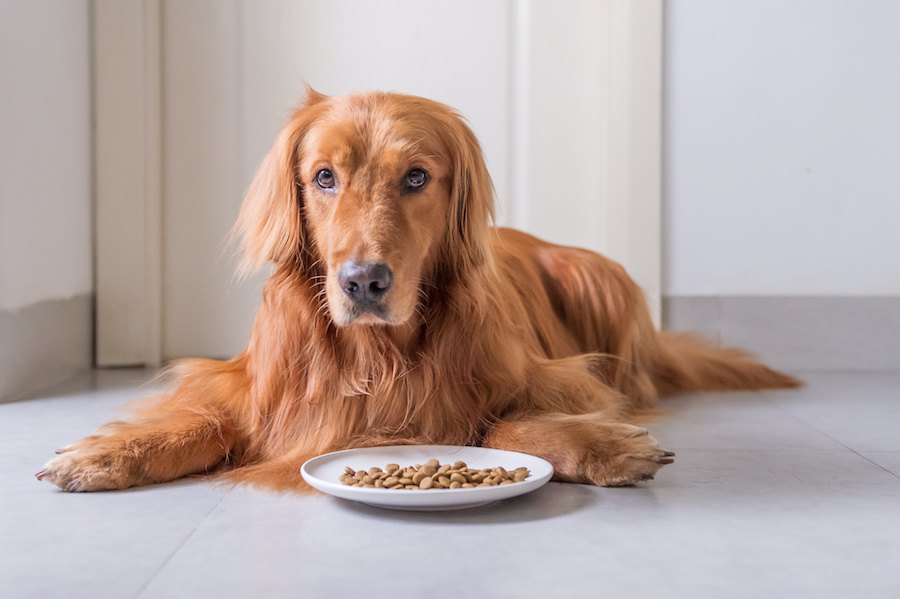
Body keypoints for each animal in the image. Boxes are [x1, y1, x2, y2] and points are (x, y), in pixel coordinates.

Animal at [35, 89, 800, 492]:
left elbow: (501, 419)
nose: (363, 281)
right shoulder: (253, 383)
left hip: (598, 276)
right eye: (323, 177)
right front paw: (108, 452)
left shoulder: (553, 378)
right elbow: (211, 418)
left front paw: (601, 446)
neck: (379, 354)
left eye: (416, 177)